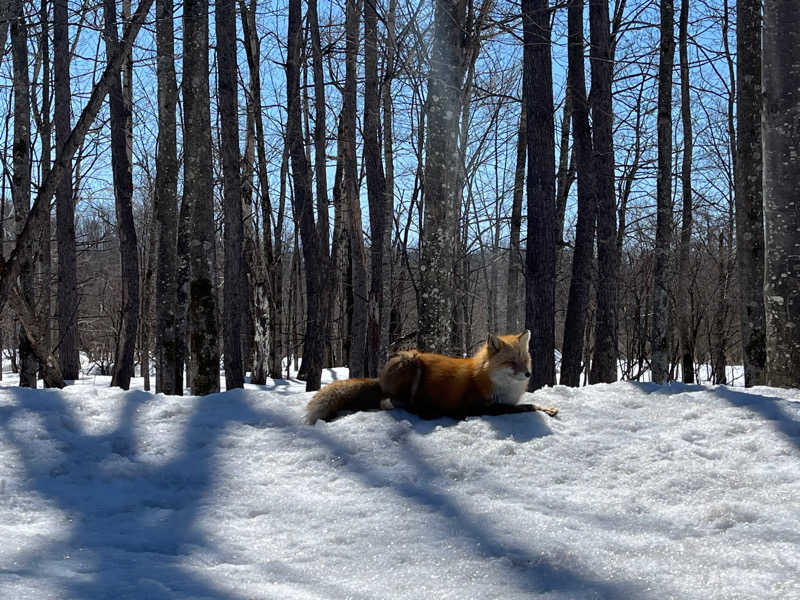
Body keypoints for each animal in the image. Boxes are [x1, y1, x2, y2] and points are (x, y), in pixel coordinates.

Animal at [304, 330, 560, 424]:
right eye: (511, 363)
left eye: (525, 361)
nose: (528, 374)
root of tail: (380, 378)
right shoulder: (481, 407)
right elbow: (526, 406)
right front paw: (543, 409)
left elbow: (530, 404)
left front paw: (549, 408)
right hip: (411, 361)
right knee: (390, 403)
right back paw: (426, 412)